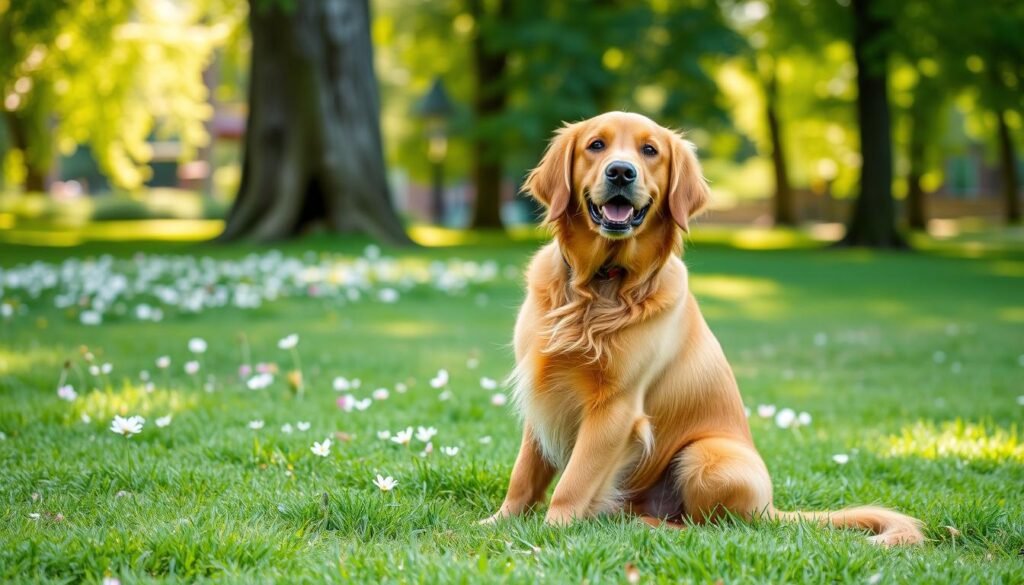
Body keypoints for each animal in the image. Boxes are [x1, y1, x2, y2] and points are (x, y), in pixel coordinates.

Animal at [483, 112, 925, 549]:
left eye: (650, 150)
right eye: (596, 145)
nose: (621, 172)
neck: (600, 286)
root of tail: (771, 507)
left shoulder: (616, 408)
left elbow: (573, 482)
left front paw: (552, 531)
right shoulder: (543, 391)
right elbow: (524, 473)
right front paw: (499, 522)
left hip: (705, 456)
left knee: (711, 525)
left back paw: (645, 525)